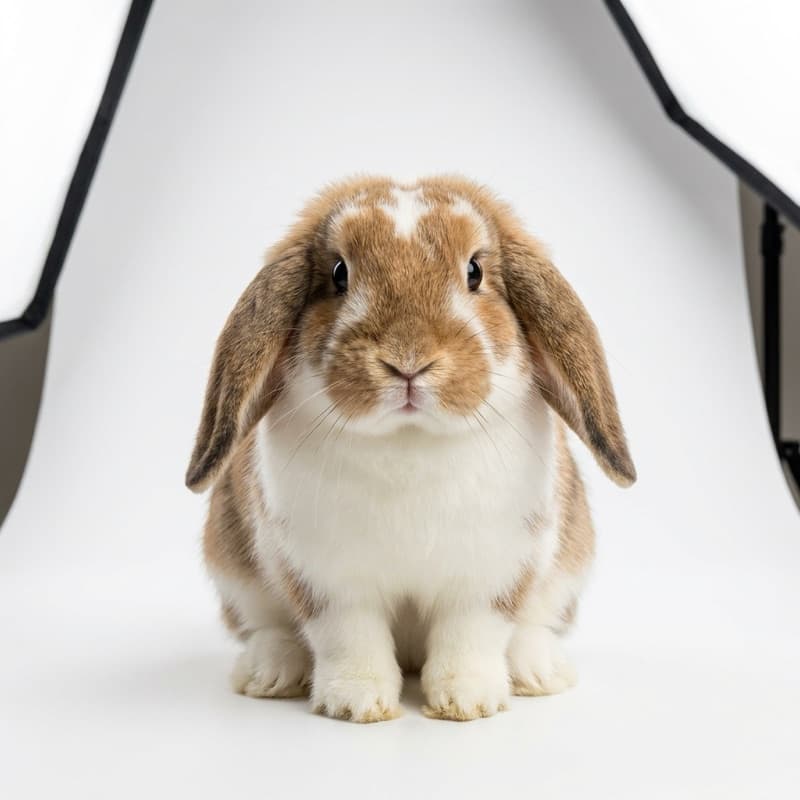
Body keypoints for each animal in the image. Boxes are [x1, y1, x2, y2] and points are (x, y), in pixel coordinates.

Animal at [186, 175, 635, 723]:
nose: (408, 360)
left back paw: (538, 672)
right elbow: (349, 638)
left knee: (534, 627)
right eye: (339, 273)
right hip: (236, 571)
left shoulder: (491, 575)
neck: (409, 440)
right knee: (266, 627)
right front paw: (356, 703)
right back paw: (270, 673)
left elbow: (471, 636)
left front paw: (468, 701)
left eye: (474, 271)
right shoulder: (329, 580)